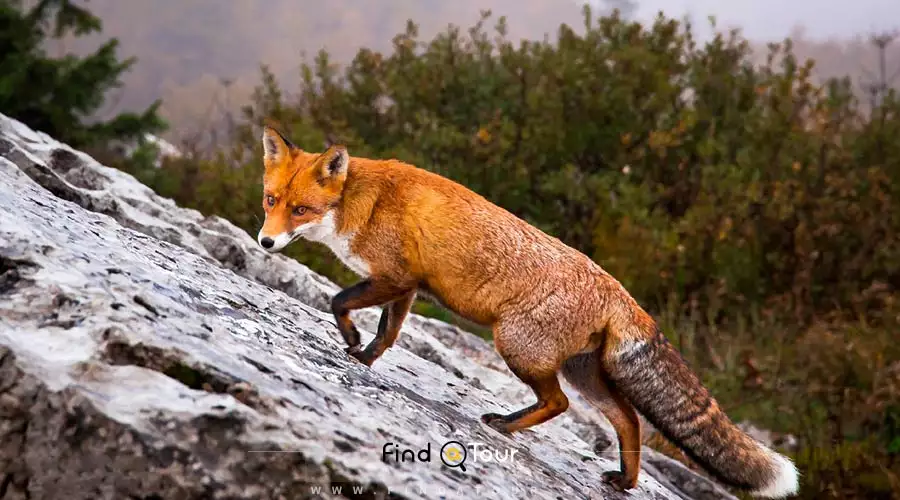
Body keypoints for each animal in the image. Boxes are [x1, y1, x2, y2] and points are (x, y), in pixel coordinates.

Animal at [256, 126, 800, 496]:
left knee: (559, 405)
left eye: (300, 210)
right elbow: (387, 335)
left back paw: (503, 424)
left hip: (517, 347)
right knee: (628, 420)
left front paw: (349, 342)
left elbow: (339, 301)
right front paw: (363, 360)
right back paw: (625, 482)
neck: (362, 201)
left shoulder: (395, 278)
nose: (264, 242)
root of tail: (620, 292)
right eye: (270, 200)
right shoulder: (405, 286)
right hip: (585, 374)